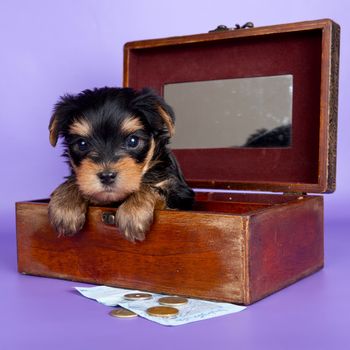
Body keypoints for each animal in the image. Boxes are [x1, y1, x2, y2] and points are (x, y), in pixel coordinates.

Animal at [47, 87, 194, 241]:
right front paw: (65, 205)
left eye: (133, 141)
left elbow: (148, 186)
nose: (107, 176)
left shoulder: (178, 191)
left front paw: (133, 212)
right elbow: (76, 182)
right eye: (82, 144)